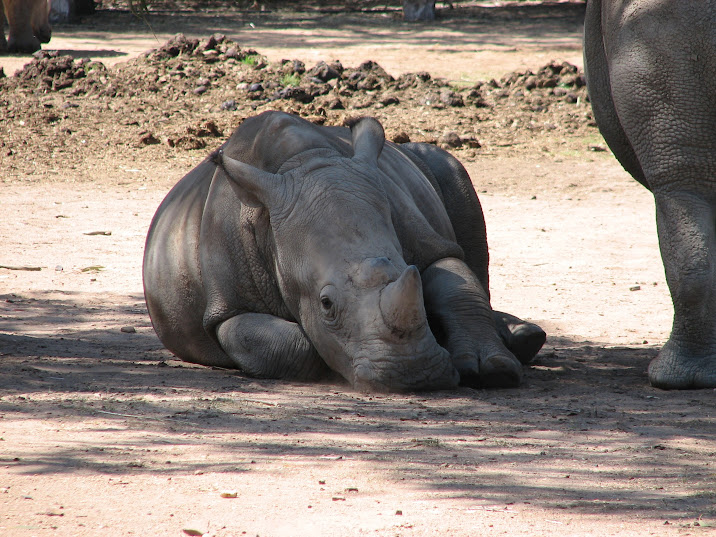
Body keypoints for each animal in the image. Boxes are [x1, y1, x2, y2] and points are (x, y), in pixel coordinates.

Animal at [143, 111, 545, 392]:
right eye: (325, 304)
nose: (415, 374)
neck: (306, 162)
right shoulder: (227, 307)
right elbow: (287, 343)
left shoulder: (427, 244)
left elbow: (458, 286)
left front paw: (494, 369)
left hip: (439, 164)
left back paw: (523, 338)